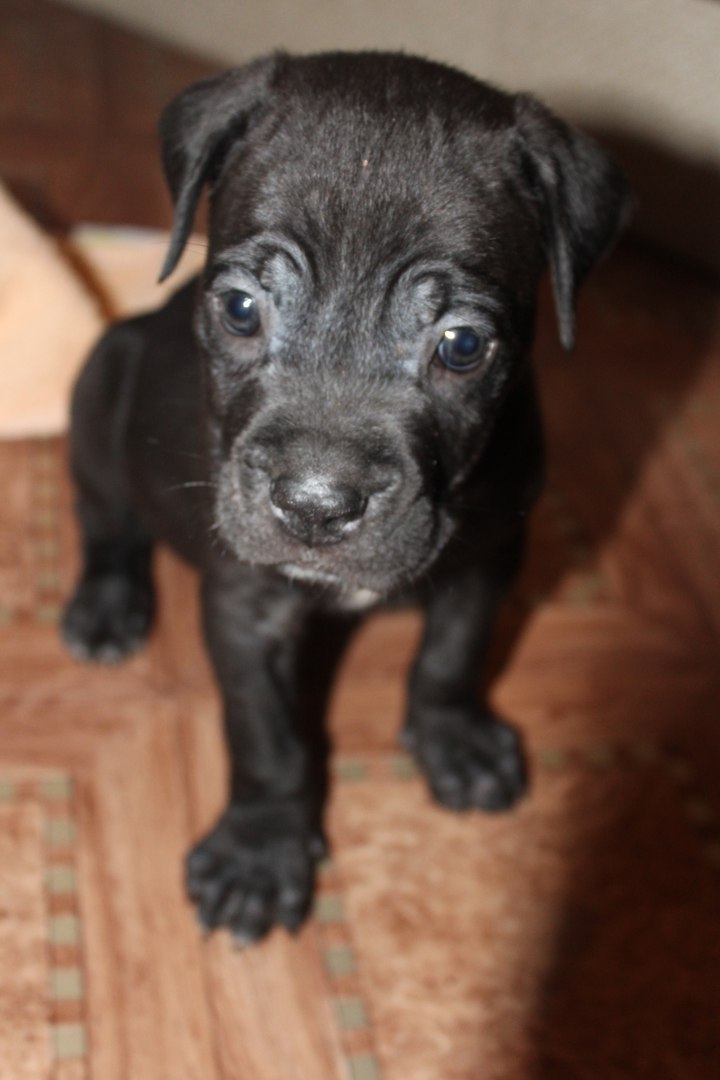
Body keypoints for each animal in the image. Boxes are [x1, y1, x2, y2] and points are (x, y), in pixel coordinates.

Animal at [63, 52, 630, 946]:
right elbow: (264, 731)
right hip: (101, 378)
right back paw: (109, 602)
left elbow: (454, 652)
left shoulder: (492, 556)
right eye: (240, 309)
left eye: (462, 346)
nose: (316, 505)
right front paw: (261, 849)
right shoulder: (246, 602)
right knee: (104, 516)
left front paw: (453, 735)